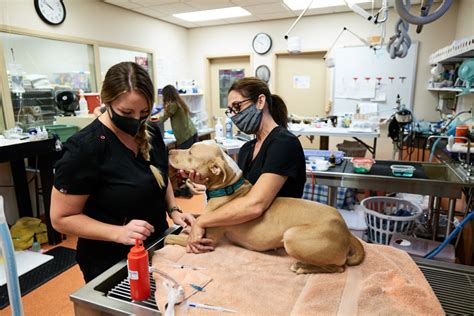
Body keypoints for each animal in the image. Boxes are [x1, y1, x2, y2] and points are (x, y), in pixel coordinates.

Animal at [168, 142, 366, 272]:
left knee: (339, 267)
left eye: (190, 152)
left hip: (292, 236)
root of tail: (345, 230)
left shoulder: (207, 241)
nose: (169, 151)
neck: (228, 187)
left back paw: (303, 267)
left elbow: (170, 238)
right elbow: (190, 223)